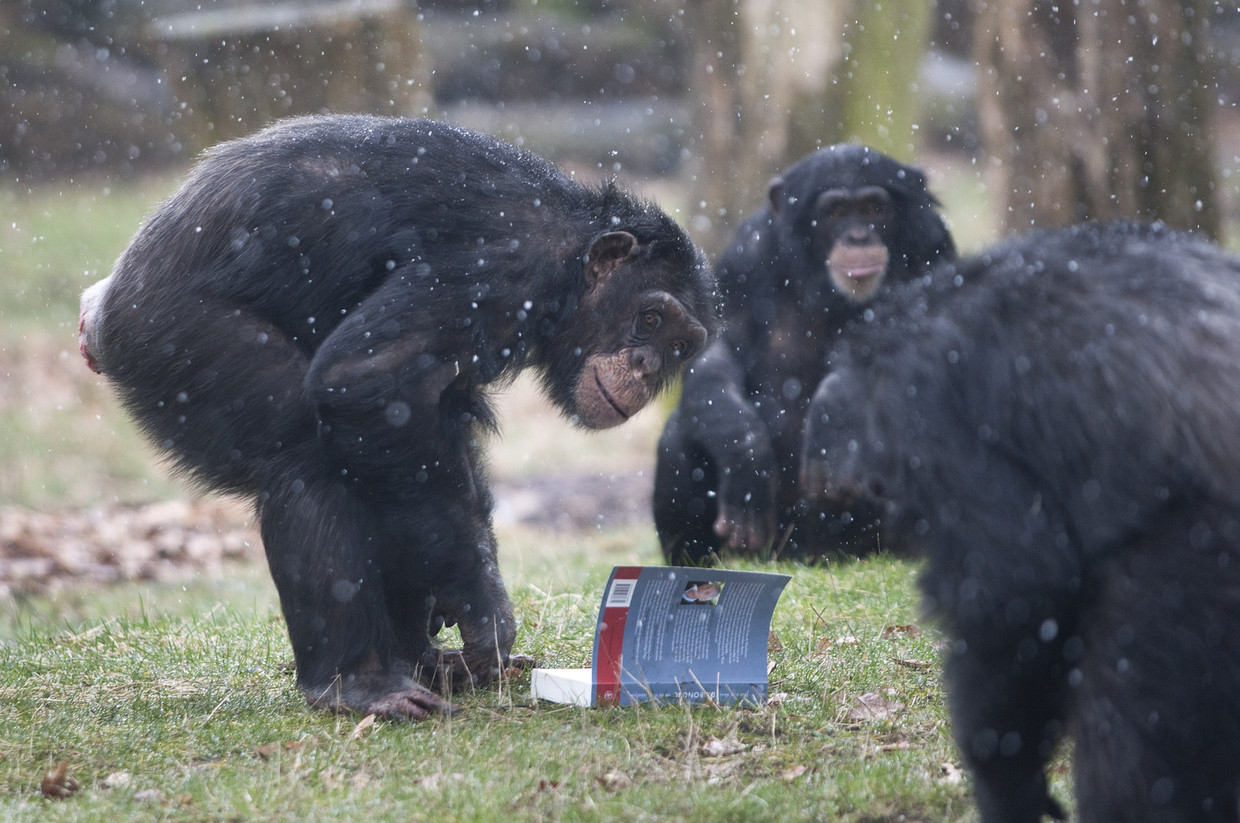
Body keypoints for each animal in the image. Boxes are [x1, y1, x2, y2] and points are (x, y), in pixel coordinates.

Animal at [79, 115, 719, 718]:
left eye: (679, 348)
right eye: (650, 319)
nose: (646, 367)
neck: (568, 268)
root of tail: (102, 311)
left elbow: (432, 422)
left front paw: (447, 611)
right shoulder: (497, 272)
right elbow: (368, 379)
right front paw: (483, 610)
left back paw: (422, 663)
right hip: (174, 340)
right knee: (307, 460)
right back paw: (356, 683)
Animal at [654, 143, 952, 565]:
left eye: (875, 208)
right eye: (836, 212)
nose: (858, 237)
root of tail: (807, 555)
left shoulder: (932, 243)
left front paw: (835, 404)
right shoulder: (747, 250)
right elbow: (718, 348)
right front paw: (746, 455)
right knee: (681, 433)